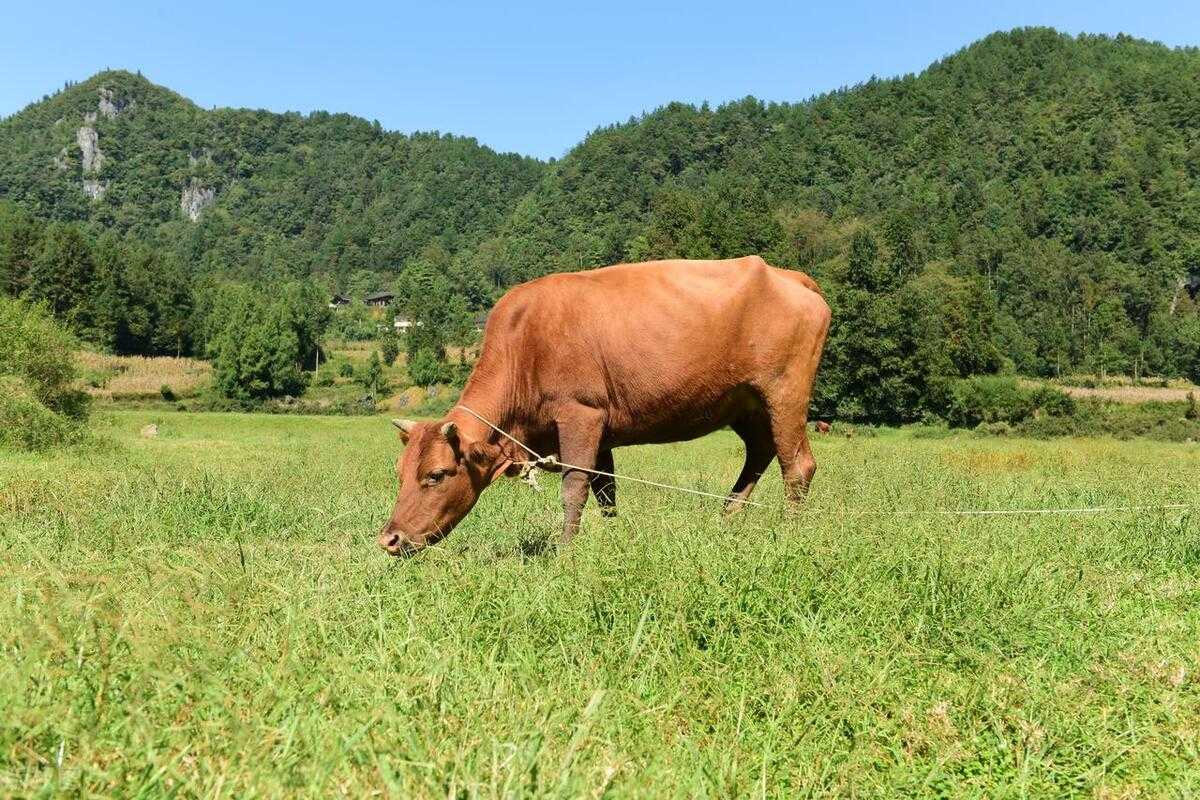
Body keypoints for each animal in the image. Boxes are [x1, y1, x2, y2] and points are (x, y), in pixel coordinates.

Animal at [379, 257, 830, 556]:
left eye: (437, 474)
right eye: (399, 472)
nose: (389, 538)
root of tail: (788, 275)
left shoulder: (581, 414)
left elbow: (575, 487)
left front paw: (564, 554)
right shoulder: (602, 433)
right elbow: (606, 491)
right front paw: (612, 540)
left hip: (785, 390)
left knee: (797, 466)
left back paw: (790, 535)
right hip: (745, 403)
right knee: (761, 451)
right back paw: (727, 518)